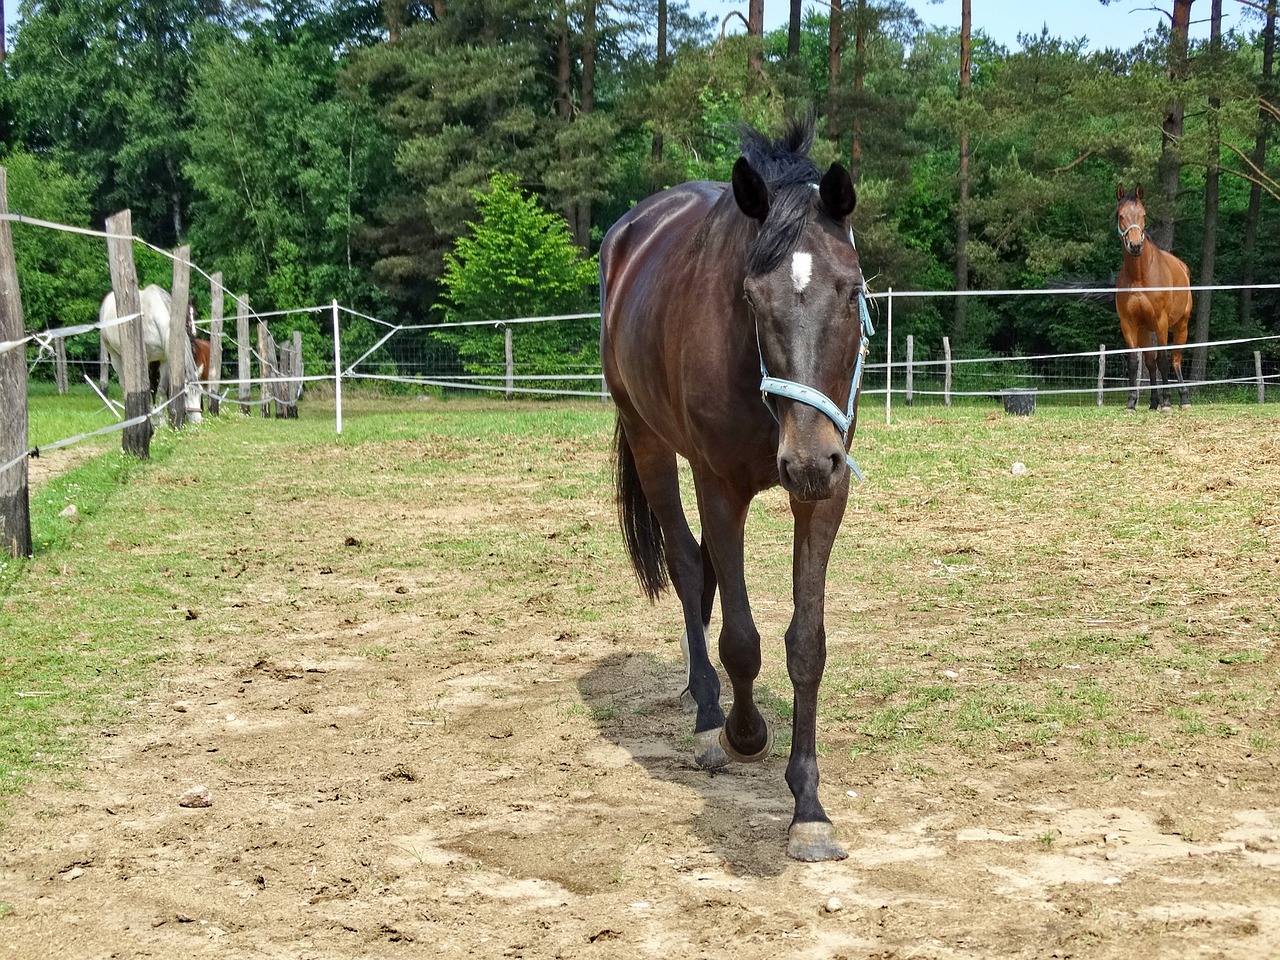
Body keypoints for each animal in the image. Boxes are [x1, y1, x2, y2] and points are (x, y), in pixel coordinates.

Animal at [99, 284, 200, 422]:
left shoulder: (164, 359)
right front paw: (151, 416)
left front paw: (161, 419)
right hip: (114, 355)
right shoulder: (146, 359)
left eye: (200, 393)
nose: (197, 420)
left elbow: (162, 388)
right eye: (185, 394)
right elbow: (149, 388)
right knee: (124, 384)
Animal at [599, 120, 870, 865]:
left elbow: (806, 643)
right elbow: (742, 638)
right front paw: (744, 733)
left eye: (851, 289)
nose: (806, 459)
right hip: (651, 444)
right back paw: (706, 715)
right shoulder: (719, 485)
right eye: (751, 299)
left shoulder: (825, 493)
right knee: (689, 567)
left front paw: (809, 808)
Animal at [1116, 185, 1192, 412]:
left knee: (1175, 359)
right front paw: (1131, 402)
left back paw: (1183, 399)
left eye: (1143, 215)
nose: (1135, 245)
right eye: (1120, 215)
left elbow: (1163, 360)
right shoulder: (1129, 324)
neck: (1140, 276)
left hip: (1181, 325)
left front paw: (1167, 402)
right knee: (1149, 362)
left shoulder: (1161, 322)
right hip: (1145, 330)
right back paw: (1153, 402)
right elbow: (1135, 362)